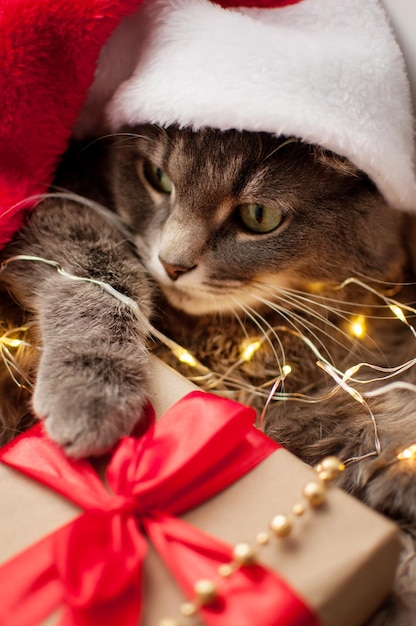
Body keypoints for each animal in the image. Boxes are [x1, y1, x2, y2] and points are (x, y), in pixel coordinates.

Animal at [0, 124, 416, 532]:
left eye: (259, 215)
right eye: (157, 176)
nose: (172, 264)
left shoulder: (294, 401)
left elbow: (358, 422)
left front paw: (400, 462)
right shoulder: (57, 202)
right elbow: (98, 272)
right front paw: (92, 389)